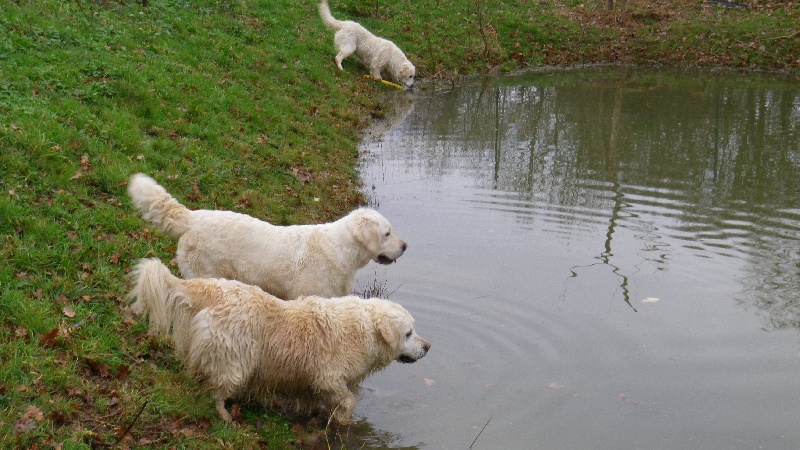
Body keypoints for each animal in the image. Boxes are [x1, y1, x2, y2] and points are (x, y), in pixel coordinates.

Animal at [130, 258, 432, 424]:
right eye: (408, 333)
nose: (428, 347)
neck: (364, 330)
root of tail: (212, 288)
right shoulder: (328, 378)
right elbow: (347, 401)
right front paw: (343, 422)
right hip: (236, 360)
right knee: (218, 391)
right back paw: (226, 416)